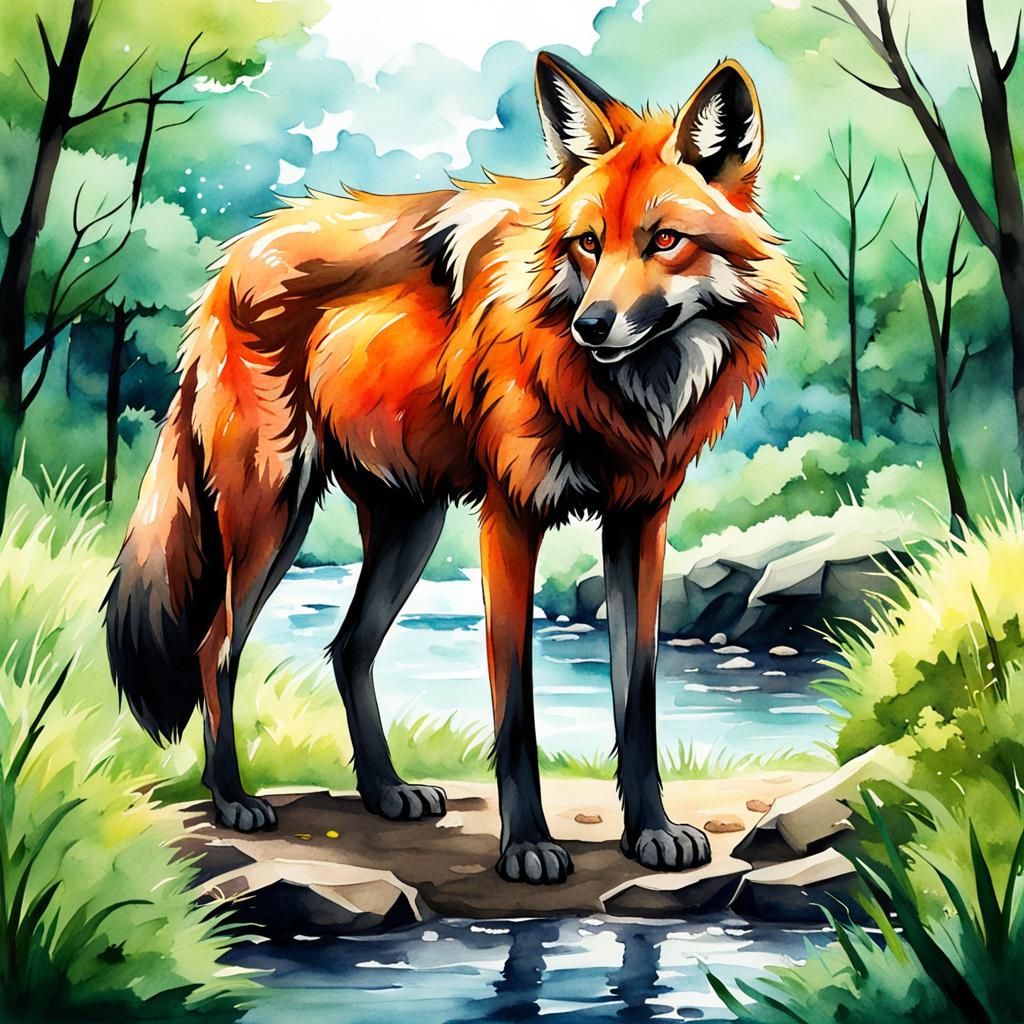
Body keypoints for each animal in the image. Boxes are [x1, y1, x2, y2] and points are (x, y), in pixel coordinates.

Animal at [106, 52, 801, 884]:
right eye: (587, 243)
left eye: (664, 239)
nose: (591, 324)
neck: (624, 402)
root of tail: (233, 258)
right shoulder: (511, 518)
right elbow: (516, 711)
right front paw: (527, 845)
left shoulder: (640, 522)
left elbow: (637, 700)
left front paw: (652, 831)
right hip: (273, 515)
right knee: (216, 647)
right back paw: (233, 800)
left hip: (409, 524)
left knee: (347, 650)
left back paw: (384, 792)